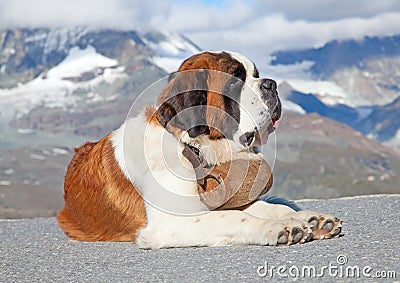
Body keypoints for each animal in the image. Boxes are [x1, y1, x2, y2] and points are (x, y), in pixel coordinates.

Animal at [57, 51, 342, 248]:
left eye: (256, 74)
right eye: (234, 82)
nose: (271, 84)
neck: (195, 148)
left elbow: (264, 207)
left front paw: (309, 219)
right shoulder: (171, 222)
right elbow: (233, 218)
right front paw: (280, 228)